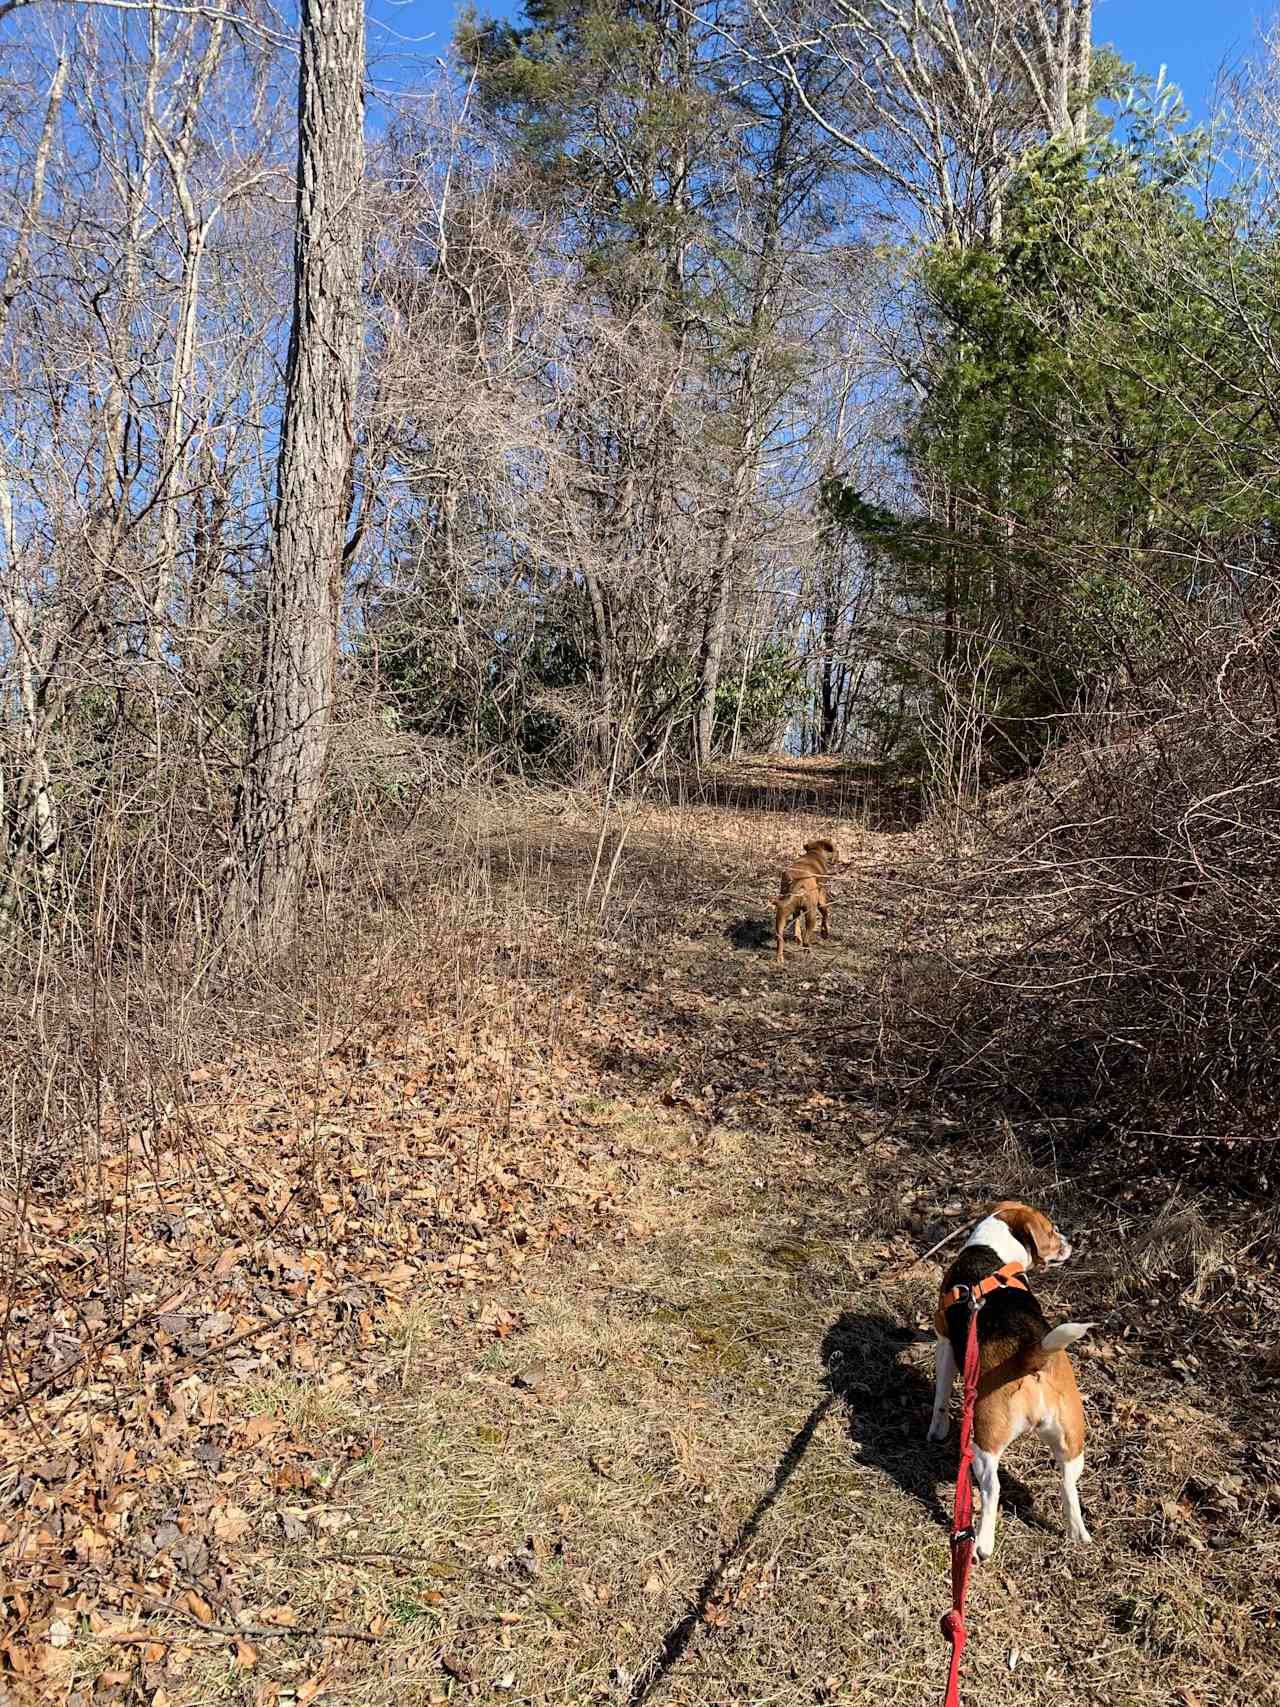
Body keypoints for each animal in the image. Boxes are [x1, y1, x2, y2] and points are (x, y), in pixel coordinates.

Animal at [928, 1201, 1099, 1563]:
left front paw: (936, 1432)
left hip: (985, 1444)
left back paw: (982, 1544)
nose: (1070, 1241)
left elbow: (940, 1399)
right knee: (1068, 1484)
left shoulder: (944, 1340)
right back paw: (1077, 1534)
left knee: (992, 1491)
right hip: (1071, 1442)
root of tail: (1031, 1357)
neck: (993, 1252)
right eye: (1052, 1230)